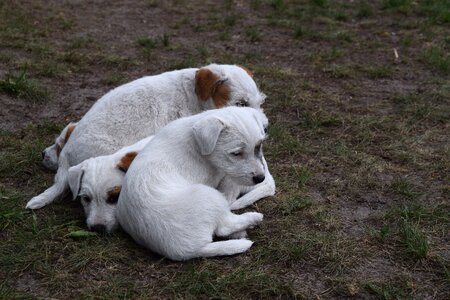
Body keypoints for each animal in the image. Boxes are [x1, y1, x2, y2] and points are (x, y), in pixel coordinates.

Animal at [118, 107, 268, 260]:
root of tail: (190, 251)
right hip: (209, 195)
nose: (261, 178)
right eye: (236, 153)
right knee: (223, 228)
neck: (197, 144)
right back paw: (252, 218)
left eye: (259, 146)